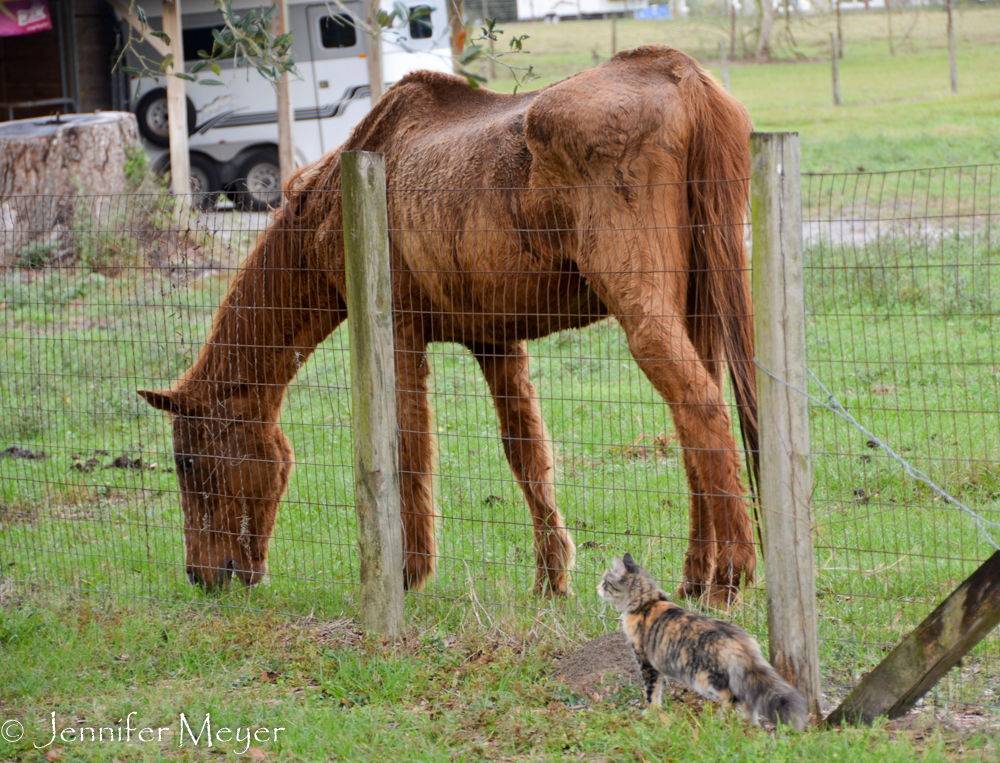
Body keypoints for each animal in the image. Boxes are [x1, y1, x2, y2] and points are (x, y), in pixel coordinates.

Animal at [139, 46, 756, 608]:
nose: (199, 576)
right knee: (696, 434)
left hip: (648, 317)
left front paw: (407, 574)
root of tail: (680, 74)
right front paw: (551, 579)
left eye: (187, 462)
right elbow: (526, 454)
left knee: (702, 408)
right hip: (697, 314)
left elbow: (409, 447)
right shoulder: (497, 344)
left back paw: (731, 577)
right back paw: (695, 576)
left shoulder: (399, 337)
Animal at [596, 552, 808, 732]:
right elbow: (659, 690)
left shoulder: (646, 662)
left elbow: (652, 691)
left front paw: (651, 712)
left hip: (703, 678)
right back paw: (749, 725)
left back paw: (721, 722)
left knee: (733, 697)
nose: (597, 588)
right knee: (747, 699)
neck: (647, 601)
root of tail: (739, 638)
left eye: (605, 582)